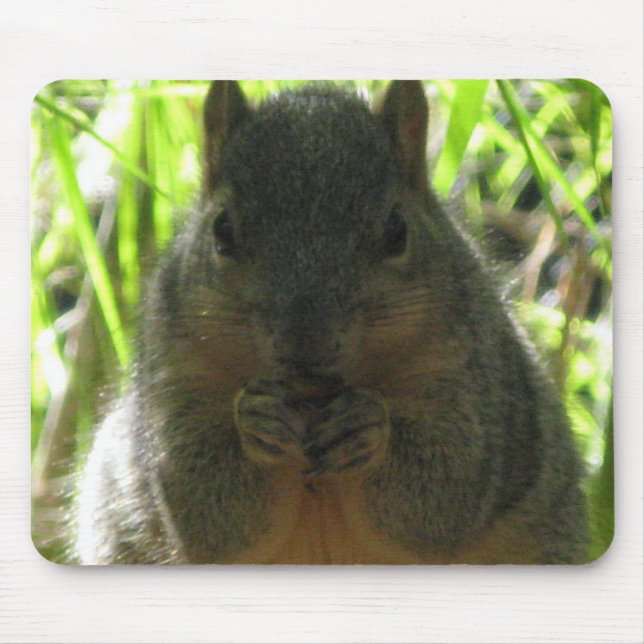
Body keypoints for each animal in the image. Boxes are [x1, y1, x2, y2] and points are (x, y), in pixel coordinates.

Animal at [73, 80, 589, 564]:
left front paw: (367, 426)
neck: (314, 397)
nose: (306, 345)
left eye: (397, 230)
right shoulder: (174, 372)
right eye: (222, 230)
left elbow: (443, 494)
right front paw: (255, 419)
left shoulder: (468, 372)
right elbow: (203, 508)